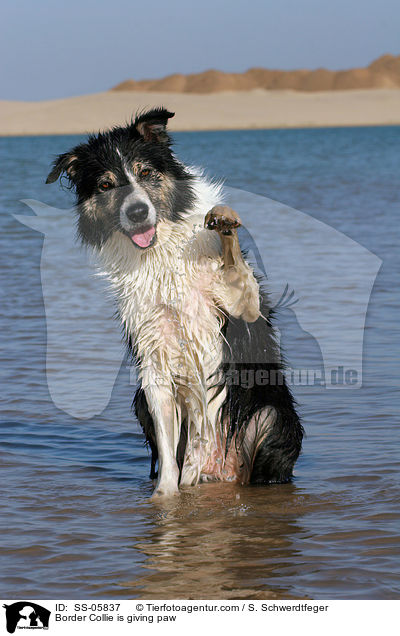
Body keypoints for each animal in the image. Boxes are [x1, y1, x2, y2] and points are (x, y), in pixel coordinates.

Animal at [46, 108, 304, 496]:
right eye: (106, 185)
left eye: (145, 173)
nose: (137, 213)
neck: (161, 252)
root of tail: (225, 474)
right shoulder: (154, 360)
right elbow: (170, 455)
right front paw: (165, 499)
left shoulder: (240, 307)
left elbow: (233, 264)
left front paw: (224, 219)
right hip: (139, 401)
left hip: (271, 416)